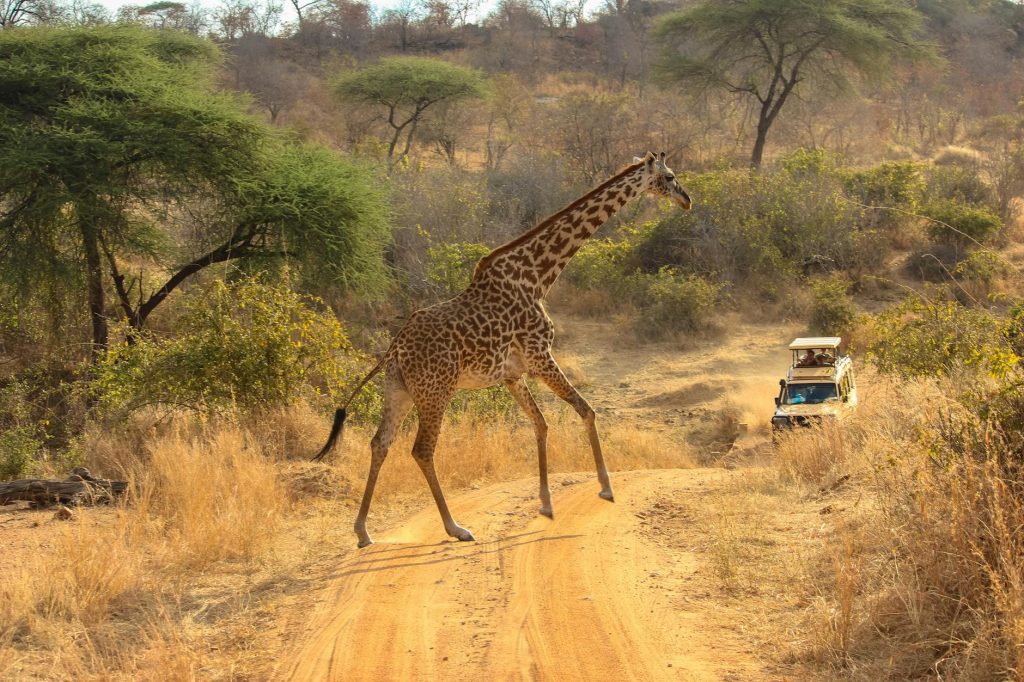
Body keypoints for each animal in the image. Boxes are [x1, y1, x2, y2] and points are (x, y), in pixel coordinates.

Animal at [313, 151, 691, 548]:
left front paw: (546, 505)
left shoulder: (513, 374)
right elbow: (586, 411)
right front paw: (606, 490)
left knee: (380, 443)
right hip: (436, 390)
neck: (538, 276)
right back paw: (456, 527)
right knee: (422, 449)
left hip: (398, 389)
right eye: (669, 176)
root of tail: (396, 346)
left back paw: (363, 531)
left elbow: (540, 424)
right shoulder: (540, 356)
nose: (687, 200)